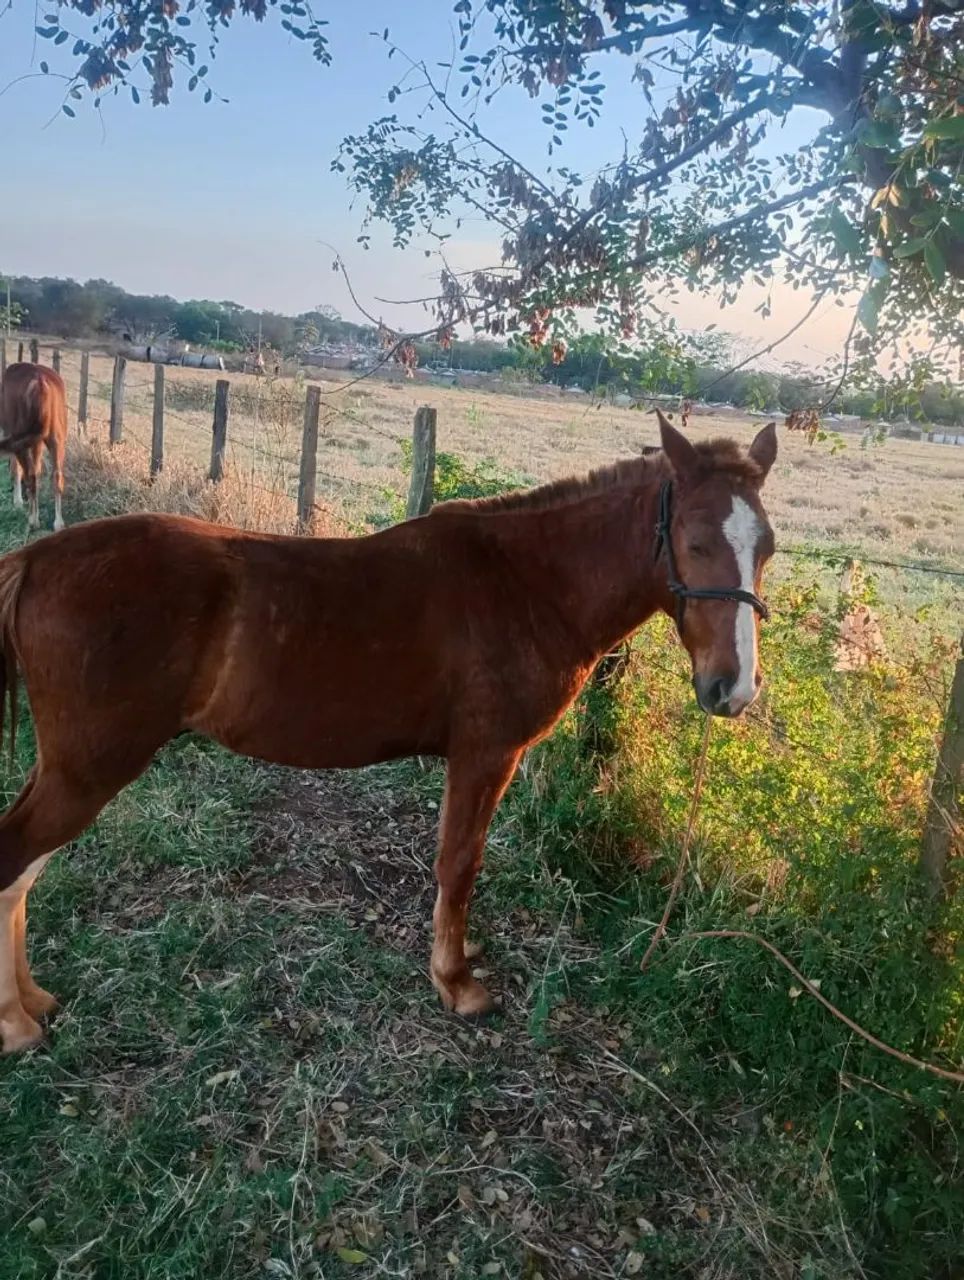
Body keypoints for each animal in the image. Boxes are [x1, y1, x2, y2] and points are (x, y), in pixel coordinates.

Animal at [0, 362, 68, 533]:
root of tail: (40, 383)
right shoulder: (35, 441)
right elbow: (37, 470)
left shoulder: (12, 436)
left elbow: (16, 469)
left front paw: (18, 502)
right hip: (56, 438)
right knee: (56, 475)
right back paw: (58, 523)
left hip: (21, 439)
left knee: (29, 475)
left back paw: (33, 521)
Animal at [0, 413, 776, 1054]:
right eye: (695, 540)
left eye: (765, 547)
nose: (732, 689)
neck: (526, 582)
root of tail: (37, 560)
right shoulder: (485, 755)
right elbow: (458, 865)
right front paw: (456, 982)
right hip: (91, 768)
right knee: (15, 861)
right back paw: (15, 1025)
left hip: (70, 766)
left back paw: (33, 1001)